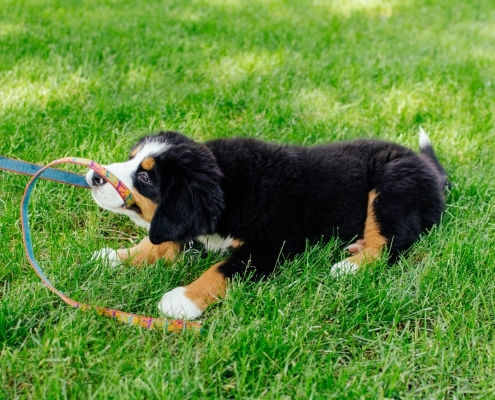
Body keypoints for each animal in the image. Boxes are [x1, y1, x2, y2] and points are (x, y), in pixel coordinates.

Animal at [86, 128, 450, 318]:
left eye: (146, 177)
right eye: (131, 158)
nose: (92, 176)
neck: (228, 186)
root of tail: (429, 169)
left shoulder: (270, 246)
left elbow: (221, 270)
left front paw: (183, 300)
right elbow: (158, 243)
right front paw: (116, 257)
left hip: (390, 185)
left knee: (392, 241)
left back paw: (350, 266)